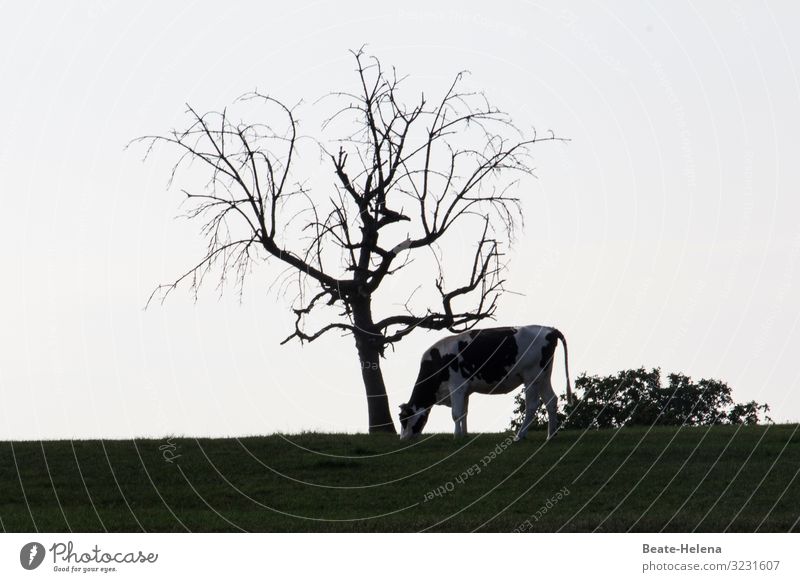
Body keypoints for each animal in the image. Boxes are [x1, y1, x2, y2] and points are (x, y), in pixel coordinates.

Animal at [400, 328, 568, 442]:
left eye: (403, 419)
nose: (402, 439)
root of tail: (549, 329)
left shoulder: (456, 386)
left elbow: (456, 413)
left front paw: (456, 436)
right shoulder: (465, 390)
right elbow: (464, 412)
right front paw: (464, 435)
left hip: (531, 376)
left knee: (532, 405)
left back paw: (520, 436)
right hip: (543, 376)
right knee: (551, 400)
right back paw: (550, 435)